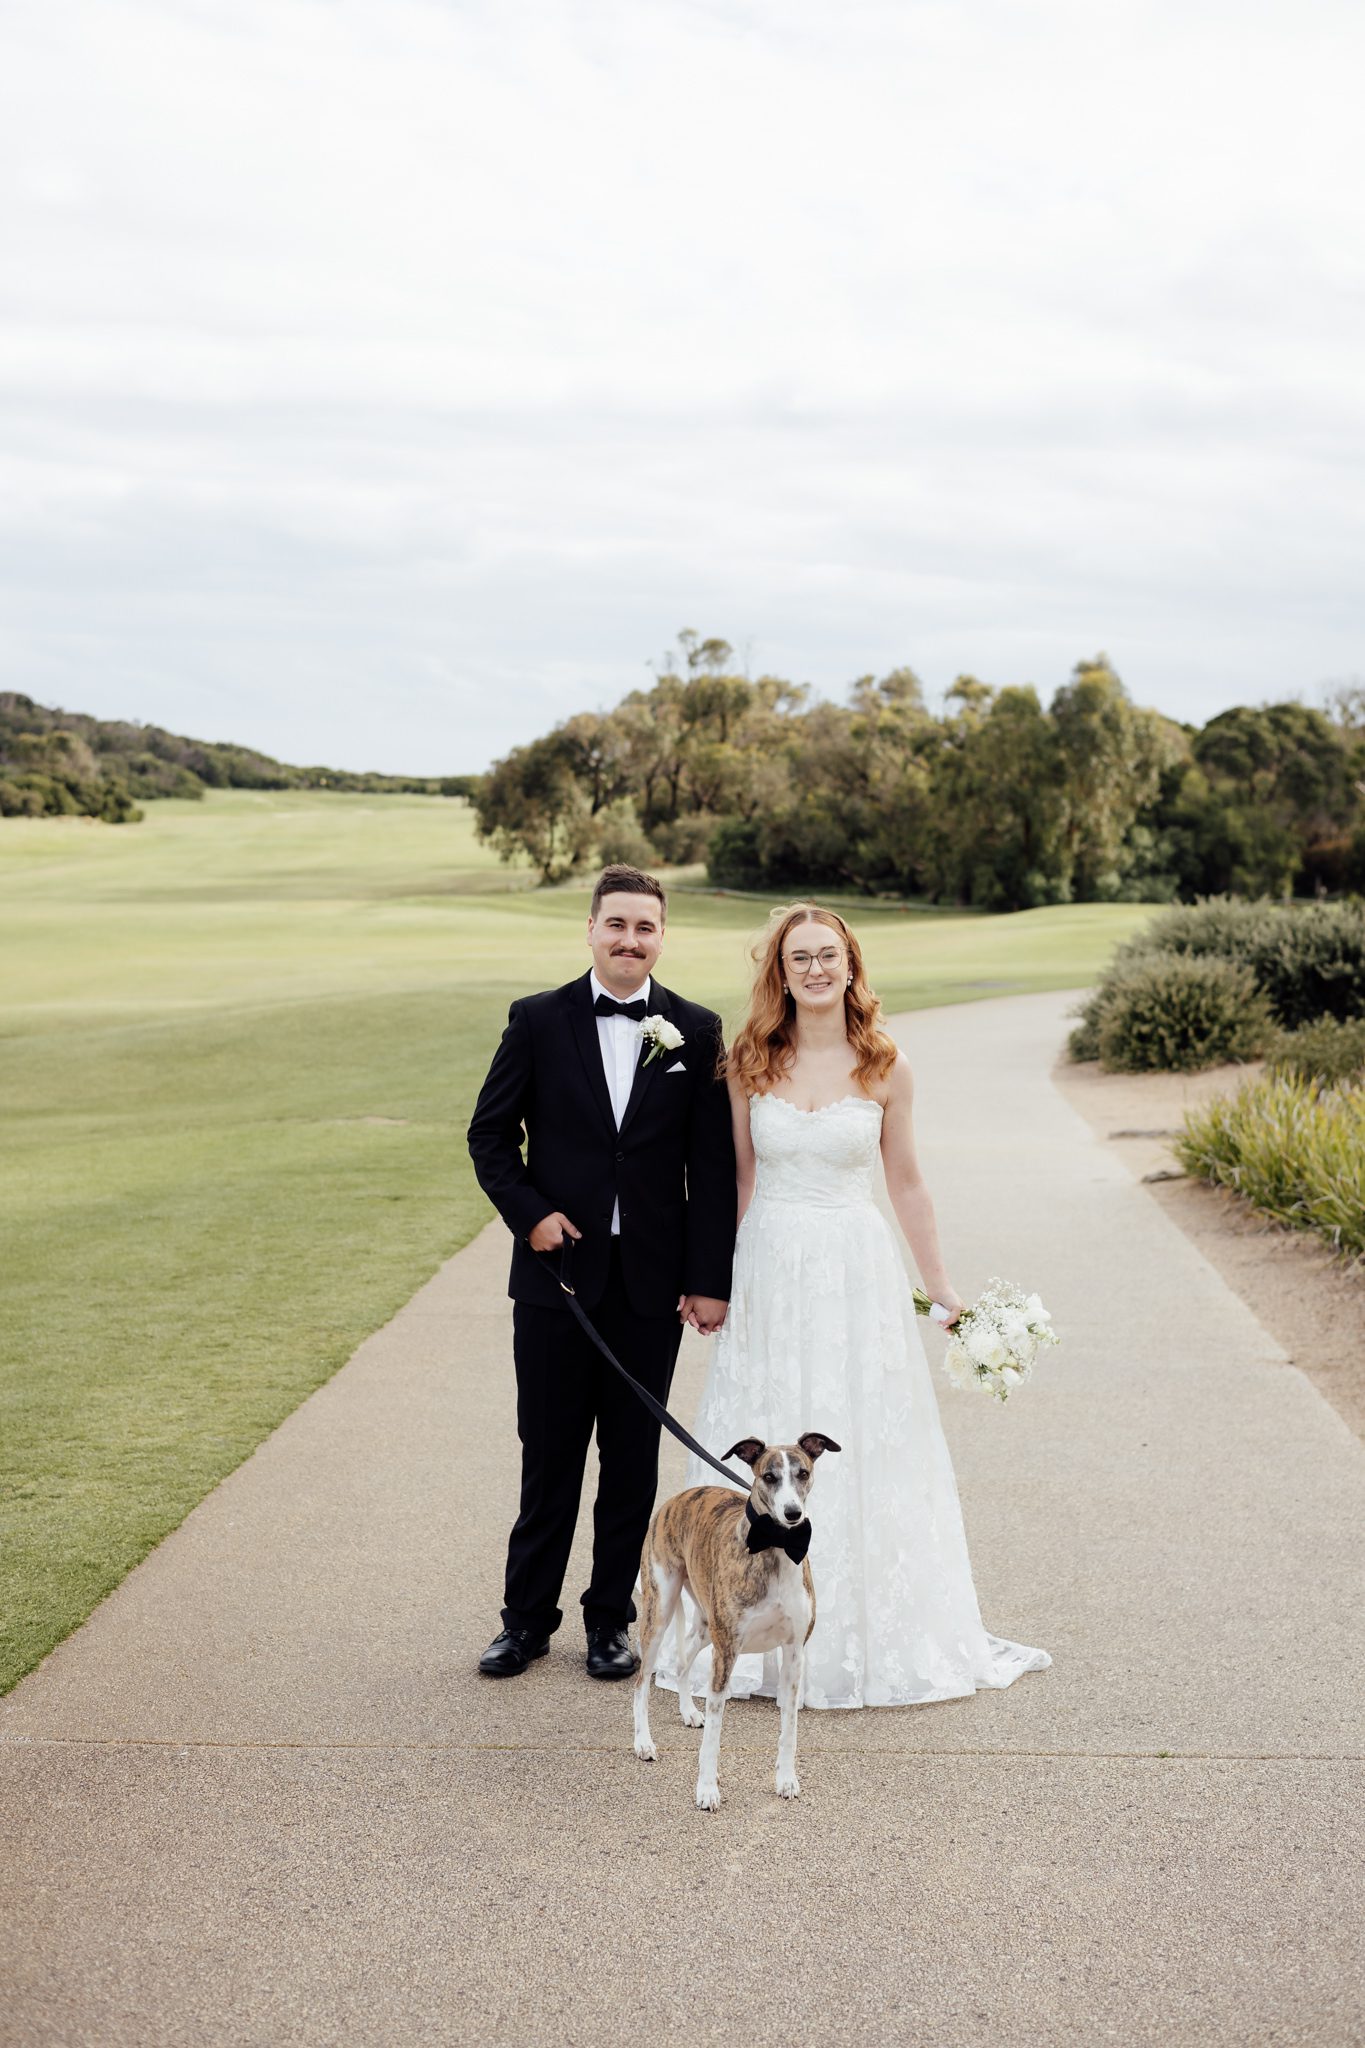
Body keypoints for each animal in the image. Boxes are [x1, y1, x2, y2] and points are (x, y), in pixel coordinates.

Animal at [632, 1432, 840, 1810]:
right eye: (769, 1476)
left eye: (802, 1473)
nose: (792, 1514)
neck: (775, 1545)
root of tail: (676, 1498)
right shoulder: (727, 1652)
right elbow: (714, 1736)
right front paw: (706, 1789)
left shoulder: (794, 1653)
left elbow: (789, 1727)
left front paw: (786, 1779)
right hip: (661, 1610)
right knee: (641, 1681)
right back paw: (643, 1742)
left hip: (706, 1628)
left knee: (681, 1662)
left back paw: (688, 1711)